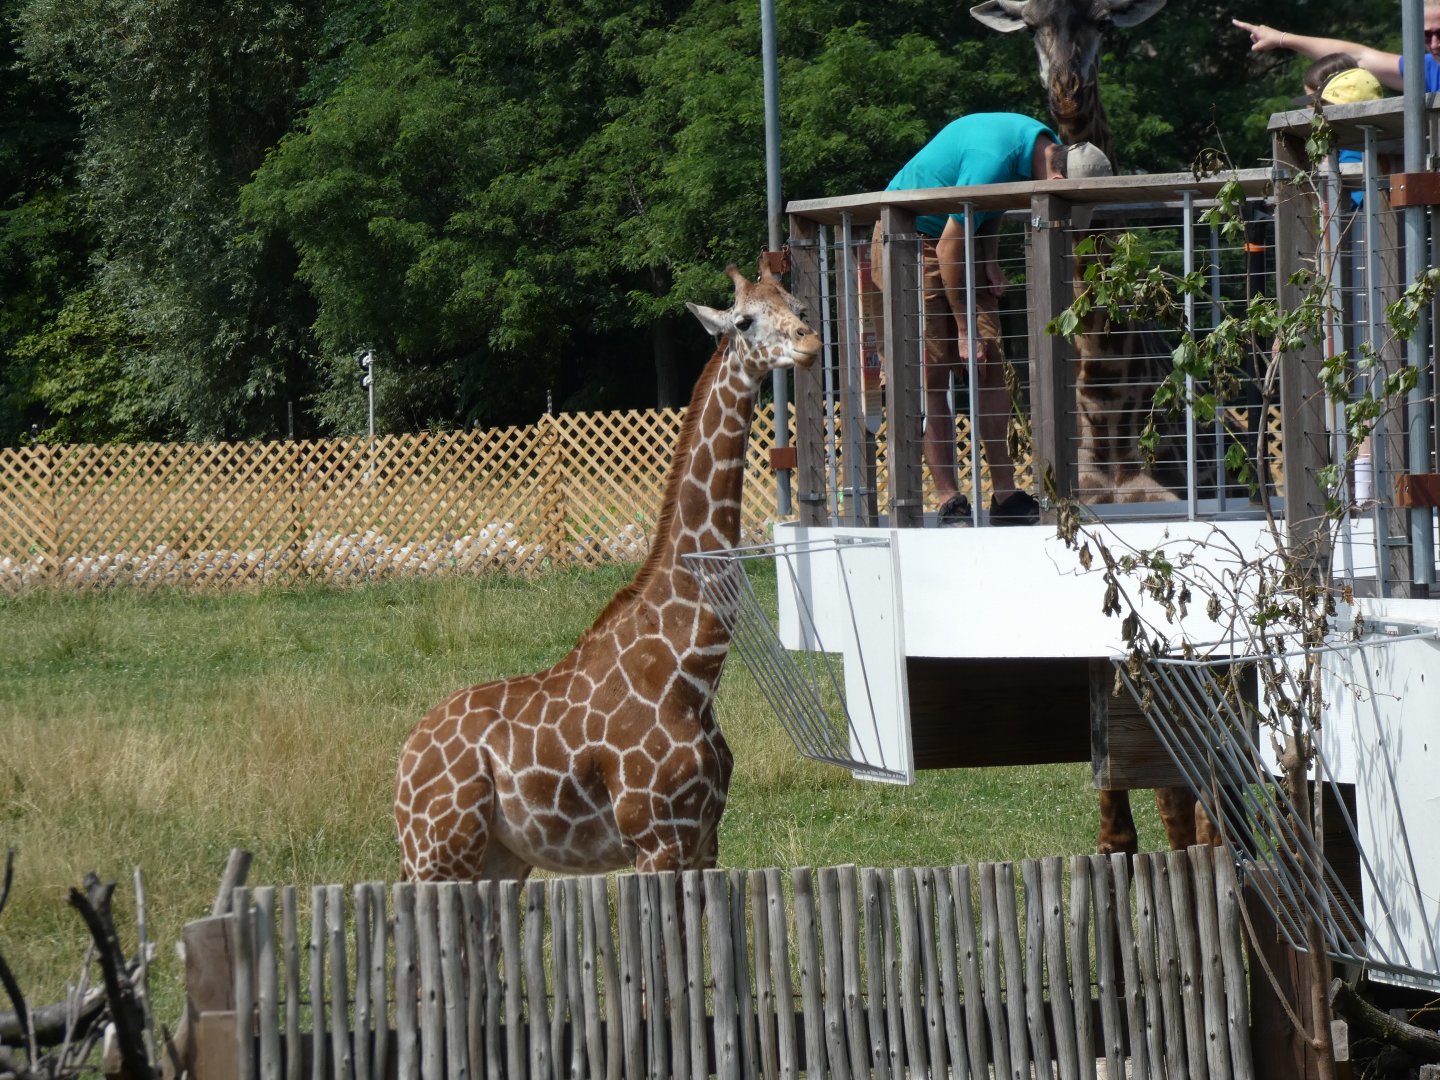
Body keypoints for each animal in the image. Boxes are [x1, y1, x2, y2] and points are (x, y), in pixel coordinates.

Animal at [394, 261, 819, 881]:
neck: (692, 669)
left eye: (799, 306)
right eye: (743, 320)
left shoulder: (704, 838)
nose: (810, 344)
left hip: (498, 858)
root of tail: (402, 762)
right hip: (437, 853)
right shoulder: (656, 839)